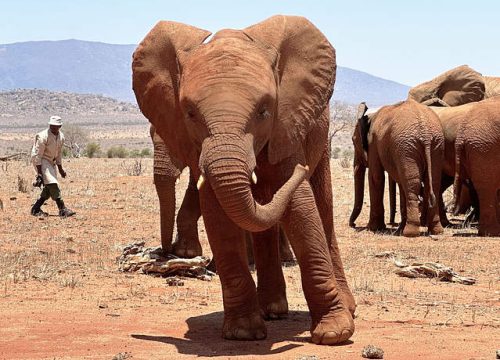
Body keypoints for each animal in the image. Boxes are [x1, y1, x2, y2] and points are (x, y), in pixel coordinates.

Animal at [131, 15, 354, 344]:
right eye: (190, 112)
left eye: (264, 111)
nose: (163, 252)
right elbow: (218, 212)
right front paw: (243, 333)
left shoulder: (286, 123)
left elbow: (301, 208)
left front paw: (334, 334)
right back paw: (271, 310)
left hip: (319, 134)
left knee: (322, 209)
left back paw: (346, 309)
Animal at [352, 100, 446, 238]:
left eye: (354, 141)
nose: (353, 224)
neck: (370, 115)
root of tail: (425, 133)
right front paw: (397, 229)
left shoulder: (373, 143)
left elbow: (376, 177)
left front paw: (373, 228)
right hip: (435, 146)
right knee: (433, 182)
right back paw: (436, 231)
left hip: (407, 147)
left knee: (412, 184)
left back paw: (410, 232)